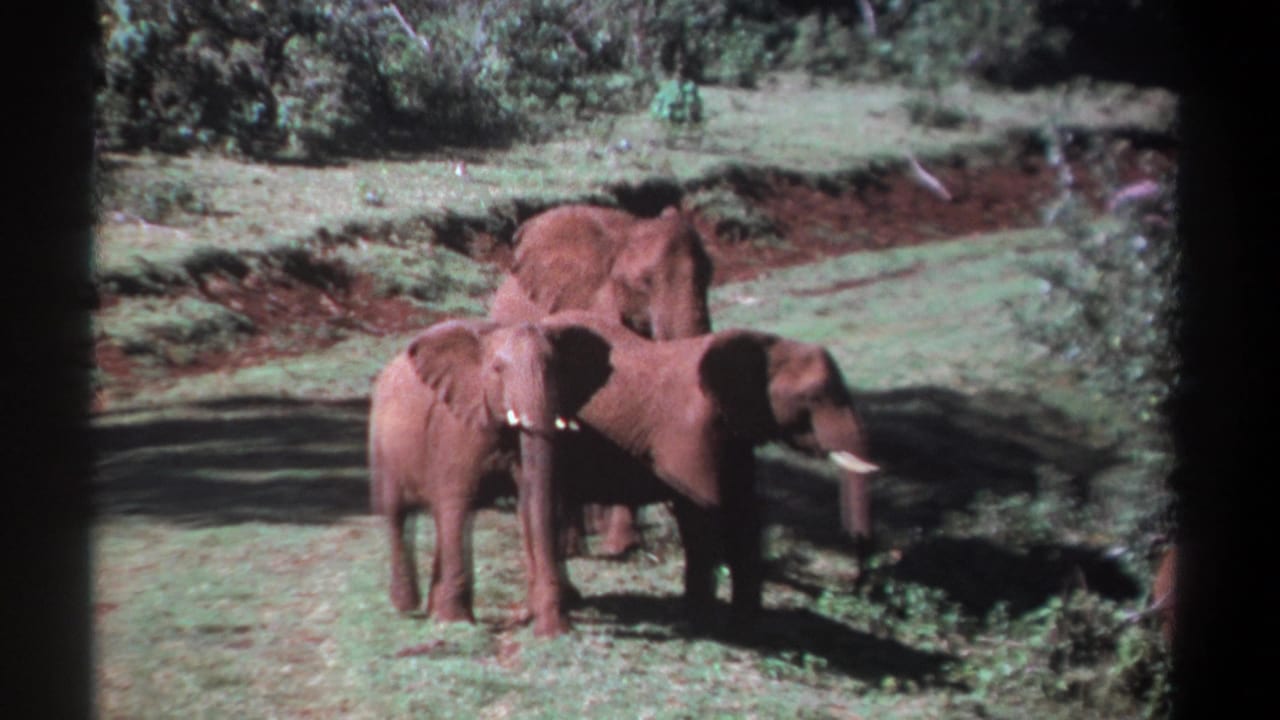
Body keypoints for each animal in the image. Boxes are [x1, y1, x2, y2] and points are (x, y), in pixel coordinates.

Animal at [368, 318, 610, 637]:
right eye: (497, 369)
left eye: (556, 366)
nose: (553, 628)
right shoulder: (455, 428)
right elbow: (458, 505)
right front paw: (454, 622)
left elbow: (529, 502)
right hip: (383, 445)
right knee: (398, 514)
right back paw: (407, 606)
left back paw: (431, 607)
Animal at [540, 311, 879, 623]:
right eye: (814, 397)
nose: (859, 584)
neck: (764, 345)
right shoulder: (689, 431)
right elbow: (703, 512)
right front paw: (701, 618)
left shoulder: (734, 436)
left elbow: (743, 512)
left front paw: (748, 623)